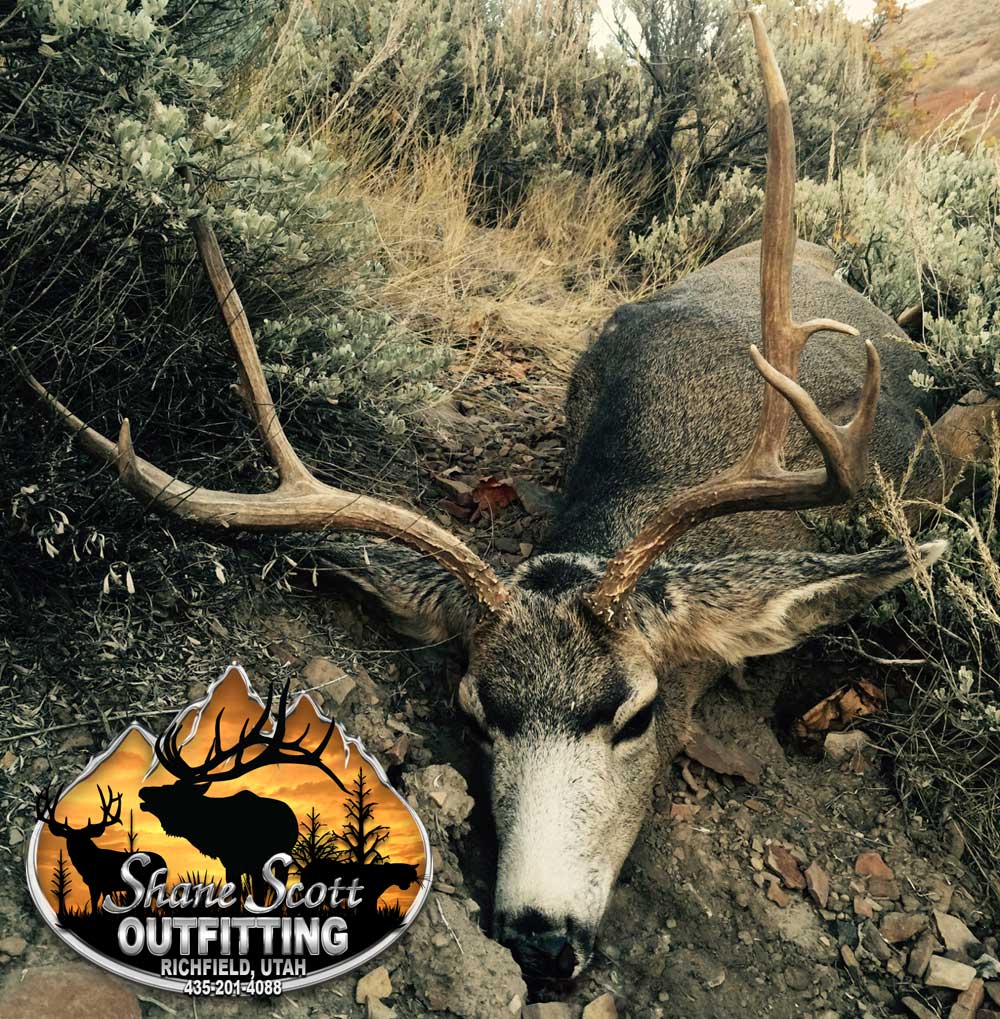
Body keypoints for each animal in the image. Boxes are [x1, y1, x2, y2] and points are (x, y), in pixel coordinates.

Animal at [36, 784, 167, 915]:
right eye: (69, 838)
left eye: (85, 837)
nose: (76, 848)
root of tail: (164, 863)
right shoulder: (94, 885)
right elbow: (95, 904)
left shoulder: (104, 884)